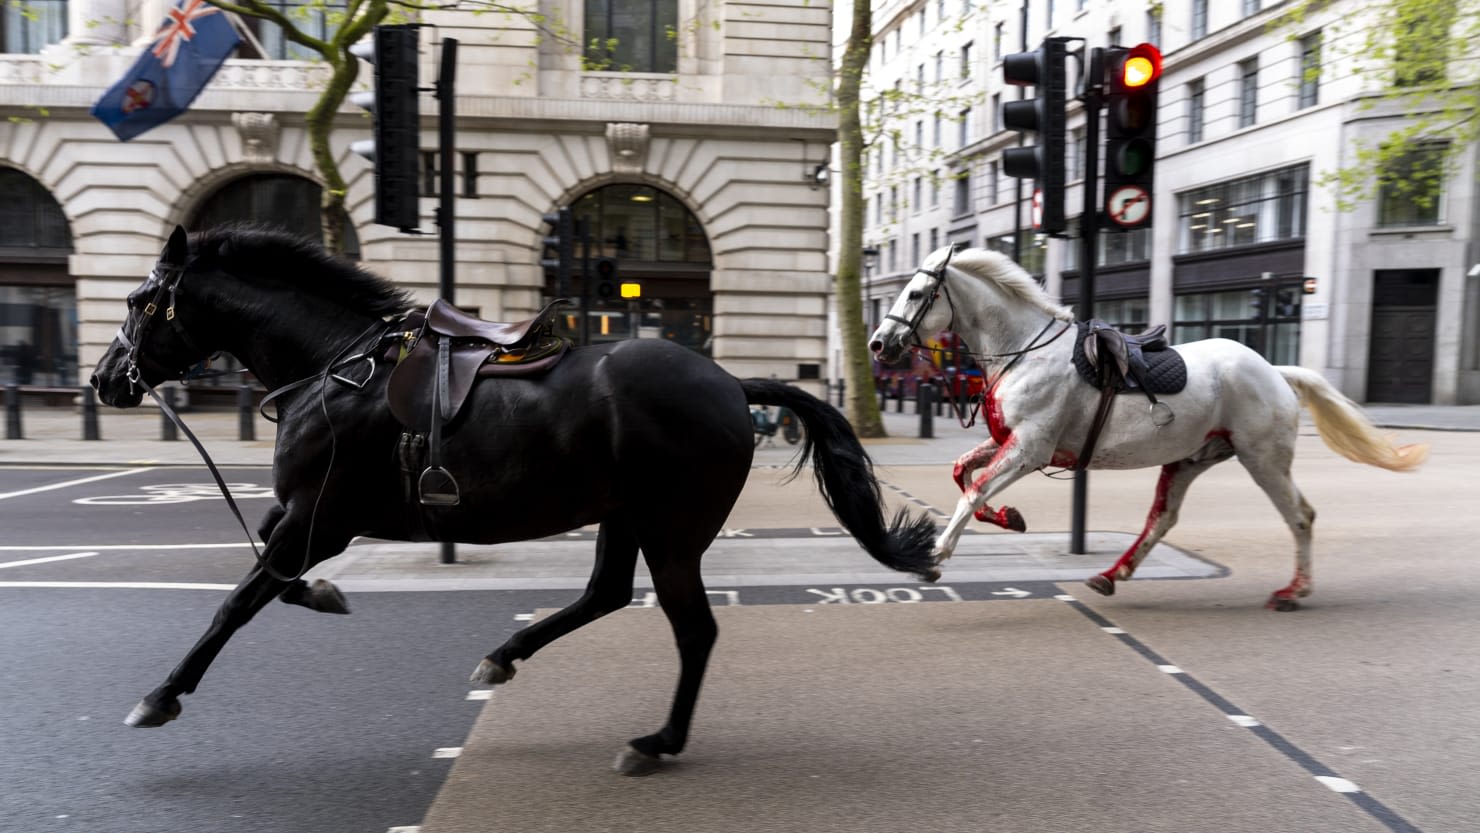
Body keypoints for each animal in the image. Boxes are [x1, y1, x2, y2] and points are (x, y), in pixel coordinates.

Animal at [89, 226, 935, 775]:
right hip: (624, 514)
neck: (335, 368)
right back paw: (505, 656)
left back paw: (657, 741)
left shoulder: (319, 518)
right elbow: (269, 573)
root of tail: (730, 381)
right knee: (605, 593)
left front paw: (161, 694)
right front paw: (326, 595)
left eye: (138, 300)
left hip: (672, 530)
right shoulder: (303, 517)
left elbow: (239, 599)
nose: (101, 381)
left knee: (693, 629)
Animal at [870, 244, 1426, 609]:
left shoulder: (1030, 448)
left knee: (1301, 516)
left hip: (1263, 459)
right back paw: (1112, 574)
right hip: (1190, 459)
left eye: (916, 293)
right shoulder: (1010, 441)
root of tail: (1274, 370)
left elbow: (974, 490)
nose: (878, 344)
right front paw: (1010, 517)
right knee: (1162, 519)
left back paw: (1294, 590)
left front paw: (935, 556)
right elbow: (963, 473)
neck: (1024, 351)